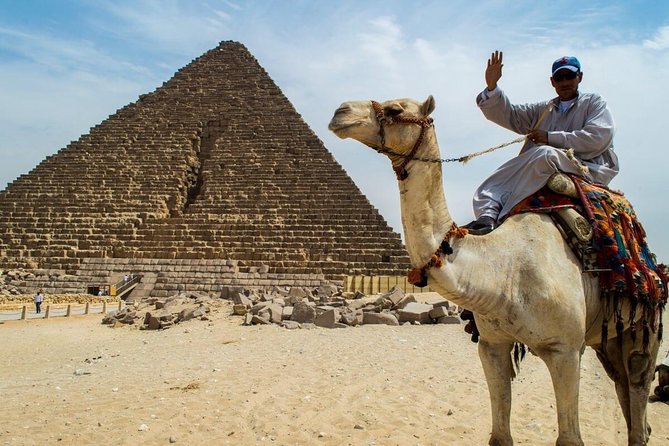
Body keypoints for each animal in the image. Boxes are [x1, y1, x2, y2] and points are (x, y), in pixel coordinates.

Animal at [328, 95, 662, 446]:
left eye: (395, 109)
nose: (340, 112)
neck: (502, 268)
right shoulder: (491, 346)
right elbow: (500, 436)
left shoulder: (567, 350)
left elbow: (570, 438)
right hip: (606, 336)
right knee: (624, 391)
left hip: (645, 328)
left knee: (637, 391)